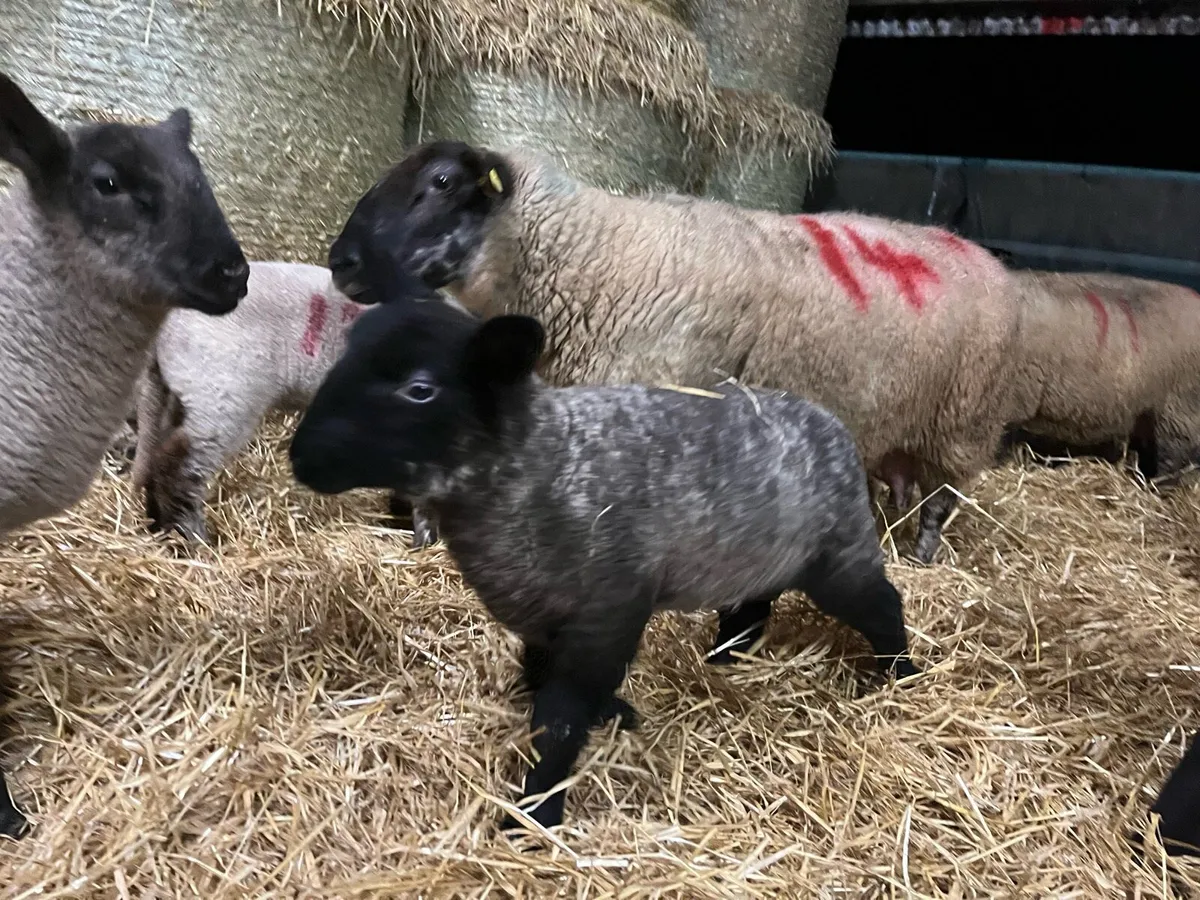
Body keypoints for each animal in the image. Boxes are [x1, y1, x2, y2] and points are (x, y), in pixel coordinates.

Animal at [129, 260, 440, 548]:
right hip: (223, 395)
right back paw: (193, 541)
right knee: (178, 469)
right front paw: (425, 540)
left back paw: (160, 527)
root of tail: (167, 320)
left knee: (156, 455)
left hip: (173, 393)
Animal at [288, 293, 922, 832]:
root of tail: (833, 426)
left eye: (419, 389)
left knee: (882, 603)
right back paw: (724, 658)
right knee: (751, 605)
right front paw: (609, 717)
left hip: (838, 555)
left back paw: (901, 675)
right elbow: (544, 685)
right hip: (761, 552)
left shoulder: (607, 614)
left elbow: (562, 715)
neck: (537, 466)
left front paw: (535, 815)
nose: (302, 458)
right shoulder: (545, 618)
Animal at [325, 140, 1027, 565]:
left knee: (940, 501)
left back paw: (920, 555)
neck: (594, 256)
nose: (342, 262)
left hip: (963, 424)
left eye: (442, 182)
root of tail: (978, 253)